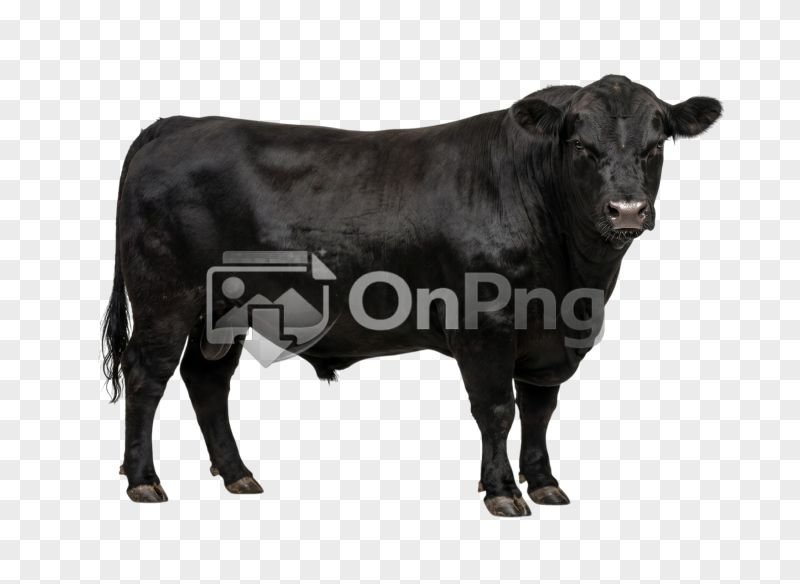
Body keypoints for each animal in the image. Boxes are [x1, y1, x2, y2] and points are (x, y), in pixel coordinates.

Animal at [102, 75, 721, 515]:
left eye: (656, 143)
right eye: (580, 145)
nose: (627, 210)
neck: (576, 281)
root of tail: (176, 124)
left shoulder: (550, 339)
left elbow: (540, 410)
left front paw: (545, 483)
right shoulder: (483, 325)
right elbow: (497, 409)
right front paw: (502, 491)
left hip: (223, 309)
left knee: (206, 380)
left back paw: (237, 474)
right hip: (166, 298)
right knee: (147, 375)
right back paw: (144, 481)